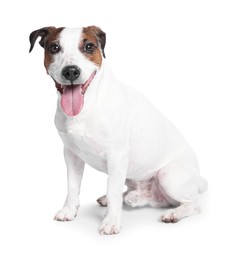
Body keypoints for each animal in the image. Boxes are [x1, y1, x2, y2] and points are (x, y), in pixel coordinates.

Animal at [29, 25, 207, 235]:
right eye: (54, 48)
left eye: (89, 46)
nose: (71, 72)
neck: (89, 105)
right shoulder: (71, 155)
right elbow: (72, 186)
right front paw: (69, 211)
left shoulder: (116, 156)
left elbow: (113, 190)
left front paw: (111, 222)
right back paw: (129, 197)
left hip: (168, 175)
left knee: (194, 204)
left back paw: (174, 213)